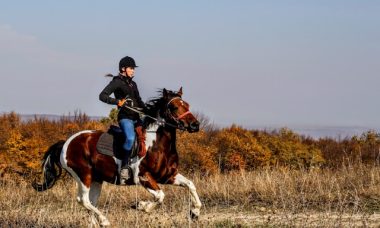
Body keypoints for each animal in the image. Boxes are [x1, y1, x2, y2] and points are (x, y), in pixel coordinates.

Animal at [32, 87, 202, 226]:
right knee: (83, 200)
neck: (157, 144)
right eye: (174, 107)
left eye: (187, 105)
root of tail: (66, 142)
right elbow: (160, 196)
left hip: (96, 179)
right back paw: (104, 220)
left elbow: (190, 185)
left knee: (91, 203)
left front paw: (195, 212)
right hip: (83, 175)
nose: (195, 125)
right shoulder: (143, 177)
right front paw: (141, 206)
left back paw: (97, 223)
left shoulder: (168, 176)